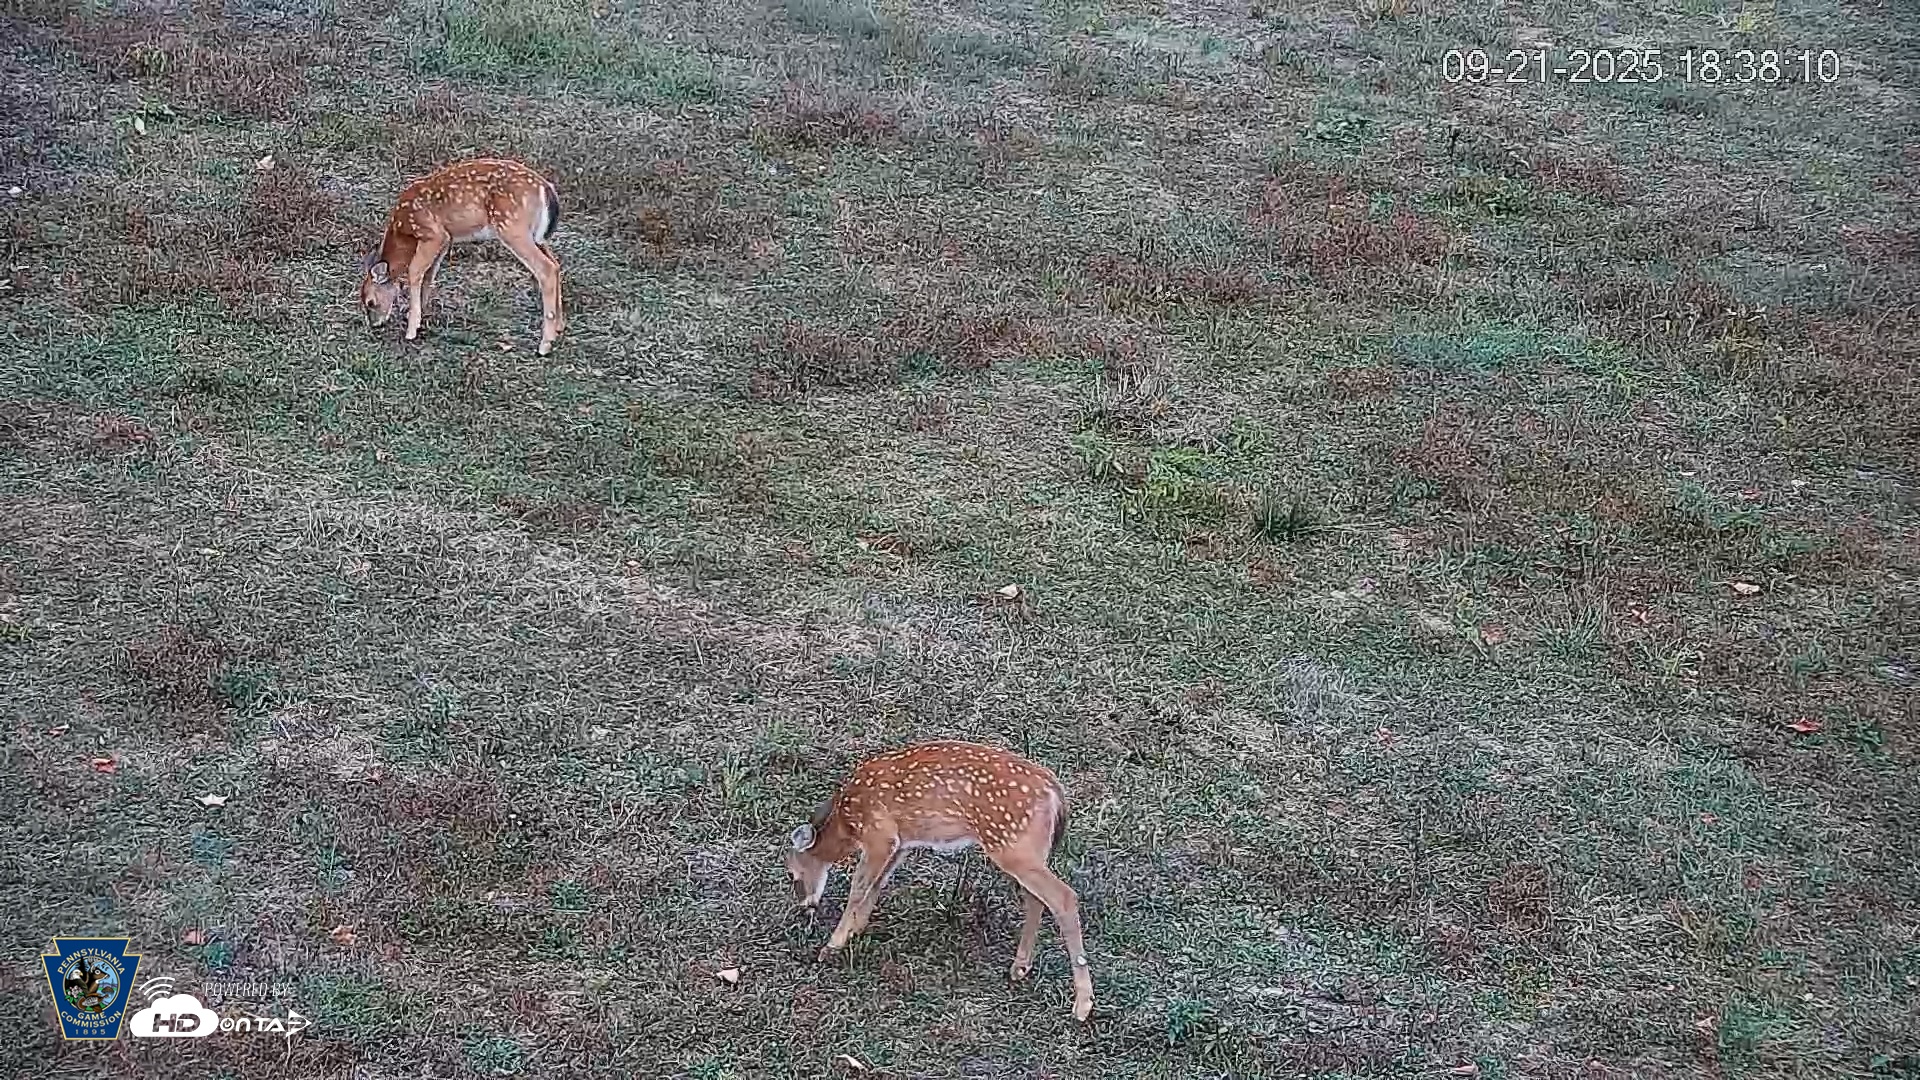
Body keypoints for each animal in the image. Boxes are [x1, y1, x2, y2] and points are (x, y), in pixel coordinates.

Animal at [358, 157, 566, 356]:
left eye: (370, 302)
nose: (375, 324)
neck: (403, 230)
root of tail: (545, 188)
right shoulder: (445, 240)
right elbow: (429, 276)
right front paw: (419, 317)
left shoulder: (433, 233)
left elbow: (414, 271)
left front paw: (411, 330)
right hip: (536, 236)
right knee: (555, 265)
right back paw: (558, 328)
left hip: (512, 227)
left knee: (546, 269)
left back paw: (544, 345)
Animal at [784, 740, 1095, 1022]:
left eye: (792, 874)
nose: (804, 905)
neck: (846, 822)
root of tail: (1055, 792)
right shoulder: (901, 841)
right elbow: (878, 883)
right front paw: (855, 929)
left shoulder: (880, 834)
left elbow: (859, 887)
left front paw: (831, 946)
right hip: (1027, 849)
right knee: (1036, 897)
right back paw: (1020, 967)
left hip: (1011, 843)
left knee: (1063, 897)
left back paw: (1082, 1005)